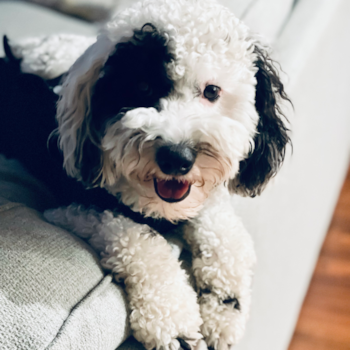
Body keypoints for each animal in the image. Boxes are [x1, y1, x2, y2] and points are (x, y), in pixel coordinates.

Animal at [0, 0, 290, 350]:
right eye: (142, 87)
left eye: (212, 91)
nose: (177, 158)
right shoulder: (74, 207)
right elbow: (141, 241)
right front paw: (174, 322)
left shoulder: (202, 204)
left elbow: (226, 235)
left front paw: (225, 305)